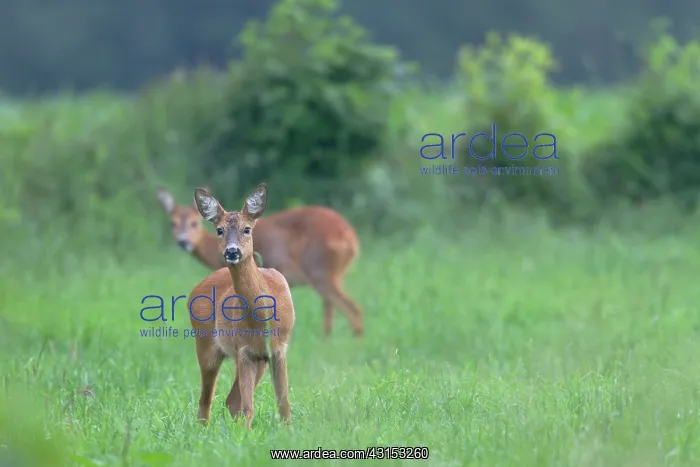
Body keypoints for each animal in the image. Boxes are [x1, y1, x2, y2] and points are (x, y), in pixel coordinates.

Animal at [157, 186, 364, 337]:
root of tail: (351, 237)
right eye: (173, 223)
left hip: (320, 270)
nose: (183, 241)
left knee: (354, 310)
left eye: (194, 223)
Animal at [188, 184, 294, 429]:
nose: (232, 251)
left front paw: (289, 431)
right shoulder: (244, 349)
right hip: (206, 344)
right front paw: (246, 435)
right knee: (207, 399)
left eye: (247, 229)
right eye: (219, 230)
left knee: (230, 400)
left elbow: (284, 405)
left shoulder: (277, 350)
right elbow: (248, 408)